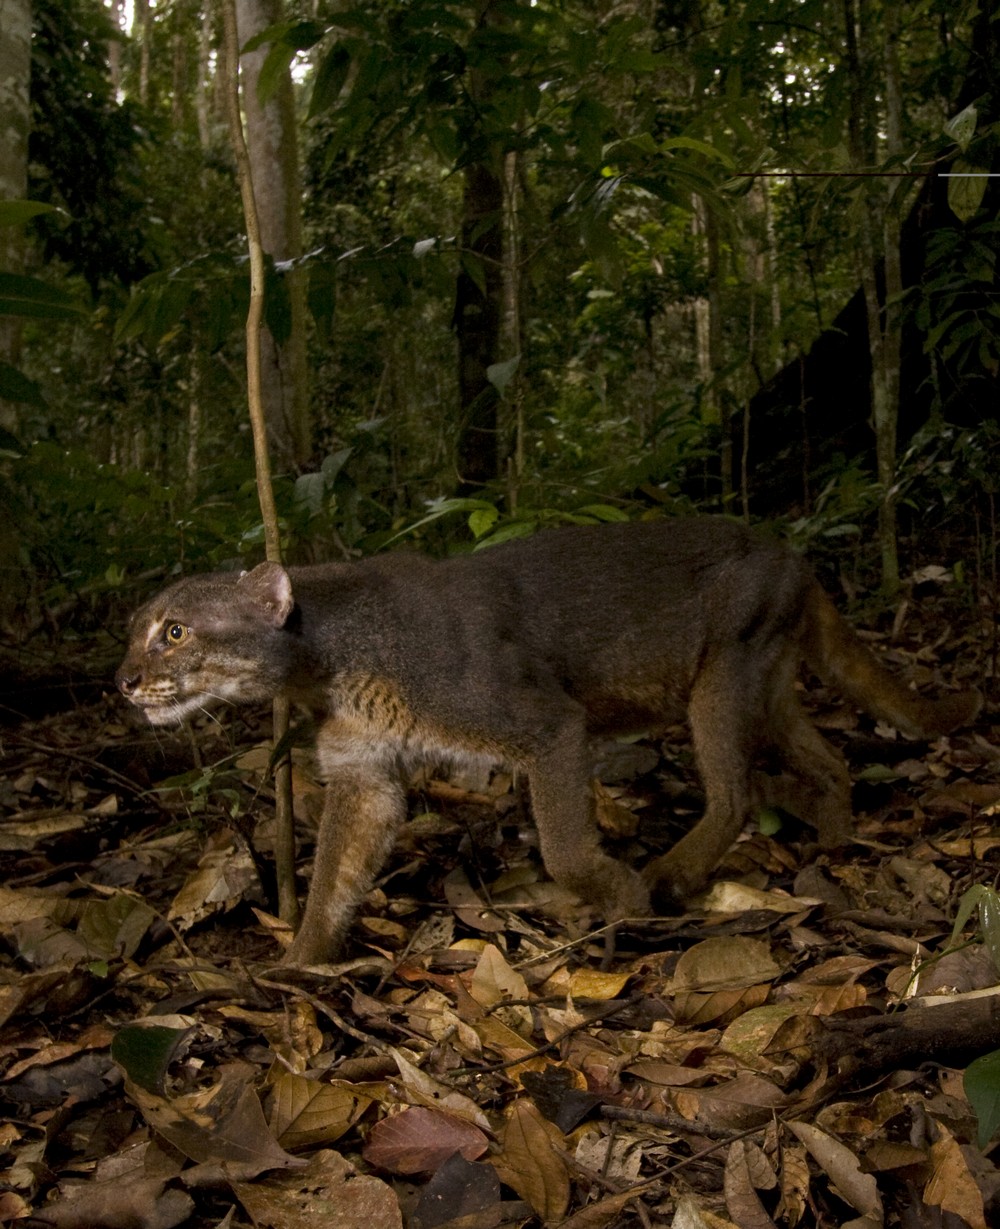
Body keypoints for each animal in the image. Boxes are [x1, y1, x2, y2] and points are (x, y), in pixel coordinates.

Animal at [115, 513, 977, 963]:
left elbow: (563, 848)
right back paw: (833, 838)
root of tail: (791, 552)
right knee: (828, 758)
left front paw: (623, 899)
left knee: (732, 793)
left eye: (175, 631)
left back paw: (671, 874)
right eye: (134, 632)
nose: (121, 680)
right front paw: (298, 967)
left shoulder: (547, 724)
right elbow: (334, 873)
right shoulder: (364, 773)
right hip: (765, 685)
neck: (328, 659)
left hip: (723, 677)